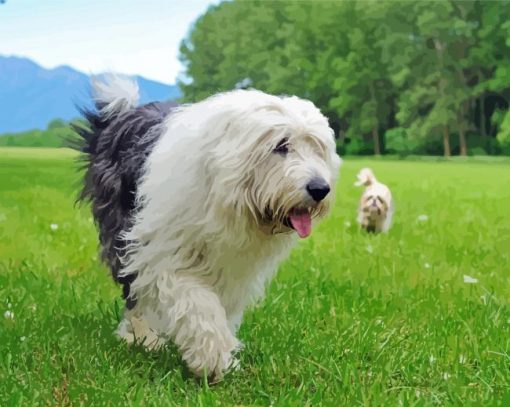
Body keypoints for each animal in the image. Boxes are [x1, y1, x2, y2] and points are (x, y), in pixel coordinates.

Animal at [73, 75, 340, 380]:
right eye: (281, 145)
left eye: (318, 148)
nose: (320, 189)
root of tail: (121, 114)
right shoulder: (163, 253)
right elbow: (196, 302)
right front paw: (212, 357)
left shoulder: (233, 270)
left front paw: (219, 352)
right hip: (122, 234)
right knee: (134, 293)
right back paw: (142, 337)